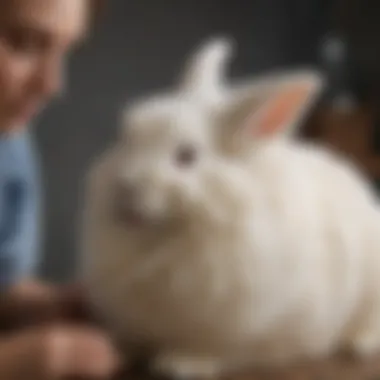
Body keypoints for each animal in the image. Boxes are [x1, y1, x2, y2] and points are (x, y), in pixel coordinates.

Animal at [80, 37, 380, 378]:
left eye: (187, 156)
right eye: (126, 138)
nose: (124, 185)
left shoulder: (241, 323)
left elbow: (217, 348)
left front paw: (182, 364)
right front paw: (118, 350)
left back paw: (360, 342)